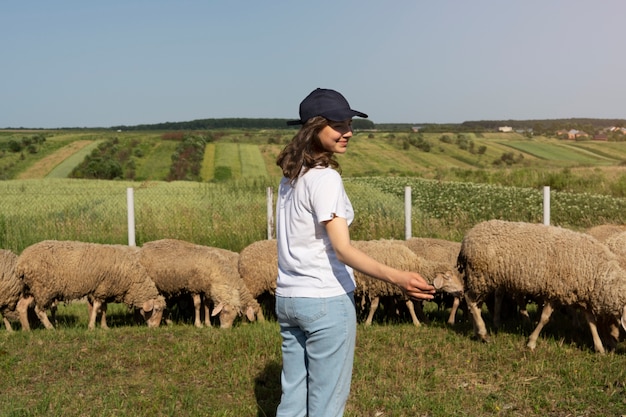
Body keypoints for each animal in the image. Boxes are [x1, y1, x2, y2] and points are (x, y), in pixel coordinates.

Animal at [15, 239, 165, 330]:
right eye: (157, 310)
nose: (155, 328)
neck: (130, 280)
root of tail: (22, 262)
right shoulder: (101, 288)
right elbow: (97, 308)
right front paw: (92, 326)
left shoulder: (102, 289)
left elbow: (103, 309)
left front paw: (104, 326)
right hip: (43, 289)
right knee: (39, 310)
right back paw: (50, 328)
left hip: (31, 288)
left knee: (22, 306)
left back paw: (27, 329)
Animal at [454, 219, 624, 352]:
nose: (616, 344)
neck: (596, 271)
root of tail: (467, 238)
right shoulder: (555, 291)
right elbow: (544, 318)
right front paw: (531, 342)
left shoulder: (580, 294)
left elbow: (591, 322)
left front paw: (599, 347)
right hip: (481, 276)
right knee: (470, 300)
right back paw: (483, 333)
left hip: (480, 278)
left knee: (474, 305)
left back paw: (477, 331)